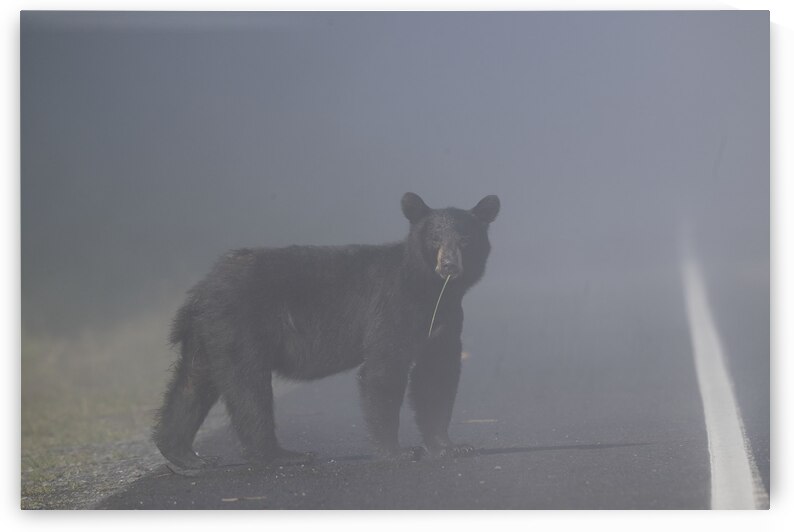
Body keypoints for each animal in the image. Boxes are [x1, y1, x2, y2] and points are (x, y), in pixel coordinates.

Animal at [153, 192, 500, 470]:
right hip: (242, 325)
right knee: (248, 387)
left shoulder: (445, 320)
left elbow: (437, 375)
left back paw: (184, 455)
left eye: (465, 239)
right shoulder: (391, 307)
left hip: (208, 334)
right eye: (435, 239)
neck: (429, 289)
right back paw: (281, 454)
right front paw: (398, 451)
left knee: (192, 383)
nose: (449, 266)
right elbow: (384, 371)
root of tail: (202, 289)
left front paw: (451, 446)